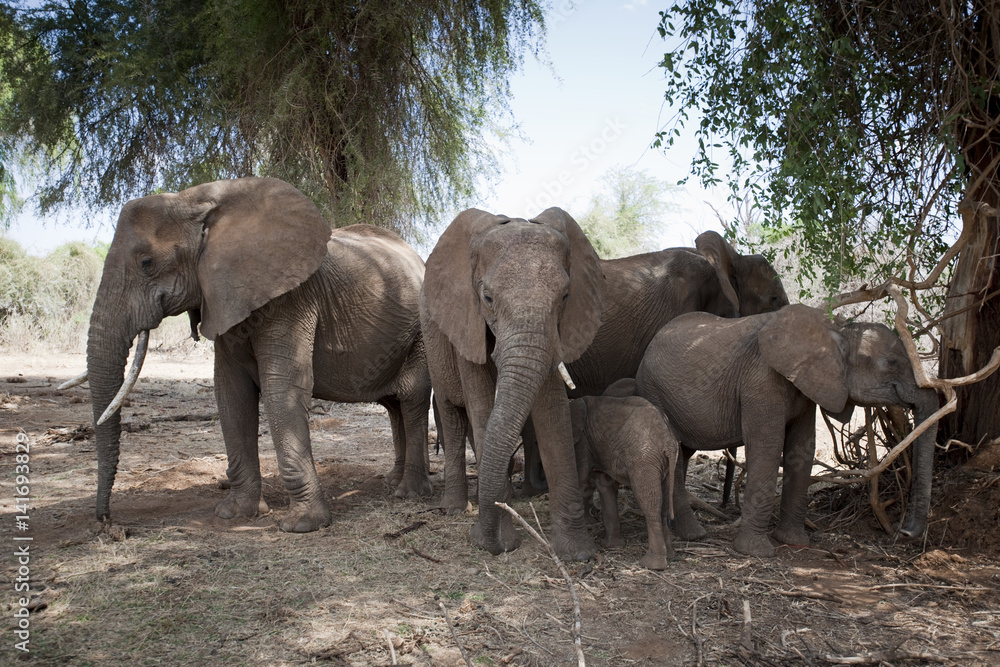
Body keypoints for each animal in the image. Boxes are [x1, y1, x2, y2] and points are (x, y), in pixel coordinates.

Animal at [83, 177, 434, 532]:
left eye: (146, 263)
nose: (106, 521)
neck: (195, 199)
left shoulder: (292, 298)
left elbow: (280, 388)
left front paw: (301, 525)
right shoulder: (224, 299)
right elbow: (231, 392)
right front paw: (236, 514)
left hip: (421, 333)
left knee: (412, 398)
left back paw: (409, 493)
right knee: (394, 406)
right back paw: (392, 482)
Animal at [420, 207, 604, 560]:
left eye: (565, 296)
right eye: (487, 297)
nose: (481, 540)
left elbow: (553, 415)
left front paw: (578, 554)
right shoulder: (467, 321)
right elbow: (481, 408)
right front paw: (496, 543)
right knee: (453, 416)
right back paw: (456, 509)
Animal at [572, 394, 680, 572]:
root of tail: (668, 441)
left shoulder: (582, 442)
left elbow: (582, 482)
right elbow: (604, 484)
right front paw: (611, 546)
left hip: (644, 459)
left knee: (650, 502)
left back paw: (652, 565)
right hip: (663, 462)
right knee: (663, 501)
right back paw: (669, 556)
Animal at [636, 306, 940, 556]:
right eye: (892, 363)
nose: (903, 532)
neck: (835, 332)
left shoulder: (806, 387)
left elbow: (802, 449)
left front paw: (794, 542)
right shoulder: (760, 380)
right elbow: (767, 449)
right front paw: (756, 552)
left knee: (683, 454)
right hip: (655, 391)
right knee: (675, 454)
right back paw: (695, 535)